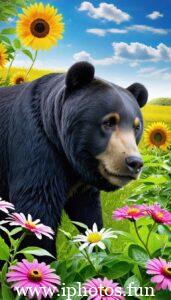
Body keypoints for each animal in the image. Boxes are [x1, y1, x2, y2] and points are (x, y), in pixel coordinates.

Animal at [0, 61, 148, 258]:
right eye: (109, 122)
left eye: (136, 127)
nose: (134, 162)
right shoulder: (34, 150)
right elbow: (35, 211)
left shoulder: (82, 183)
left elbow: (89, 214)